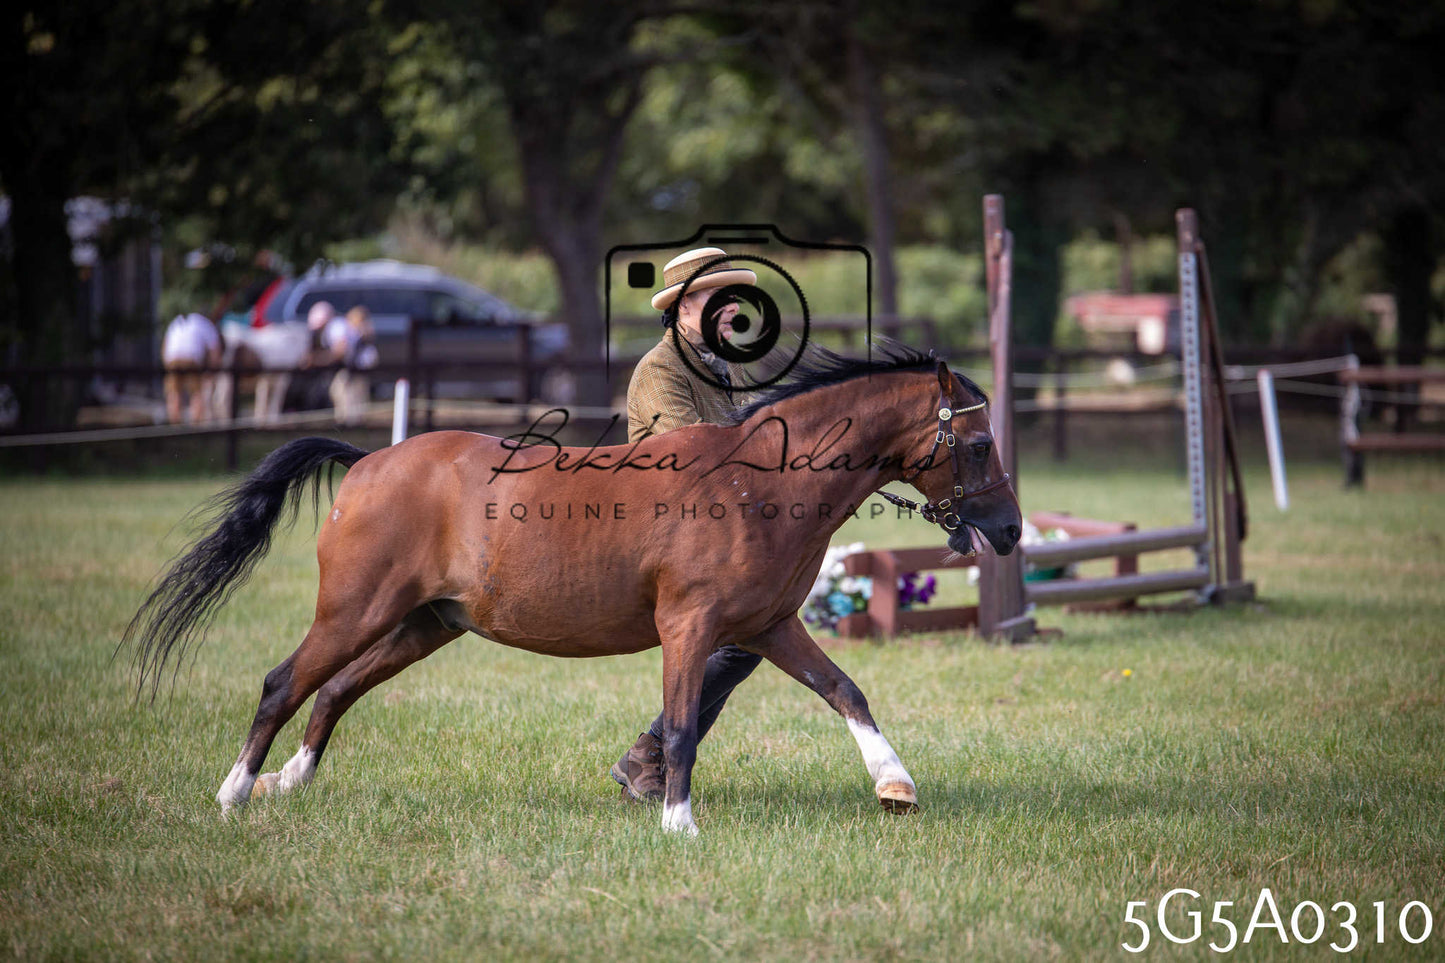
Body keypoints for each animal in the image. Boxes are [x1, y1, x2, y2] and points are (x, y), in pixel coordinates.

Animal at [123, 346, 1022, 835]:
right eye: (978, 444)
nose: (1010, 529)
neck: (759, 484)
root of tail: (369, 461)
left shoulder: (767, 627)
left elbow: (845, 690)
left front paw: (894, 784)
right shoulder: (689, 626)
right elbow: (684, 724)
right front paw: (678, 822)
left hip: (423, 624)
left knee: (335, 690)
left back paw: (291, 781)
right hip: (356, 610)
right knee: (285, 682)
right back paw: (235, 793)